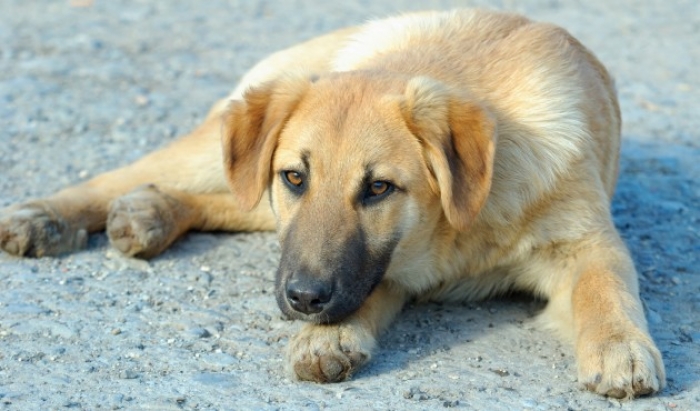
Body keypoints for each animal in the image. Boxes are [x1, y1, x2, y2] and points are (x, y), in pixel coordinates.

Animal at [0, 7, 668, 400]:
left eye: (378, 188)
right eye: (296, 177)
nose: (301, 300)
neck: (460, 226)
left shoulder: (585, 241)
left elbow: (606, 288)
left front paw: (620, 346)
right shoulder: (380, 263)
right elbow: (361, 287)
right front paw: (330, 337)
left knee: (235, 202)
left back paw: (152, 213)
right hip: (220, 142)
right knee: (132, 175)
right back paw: (49, 216)